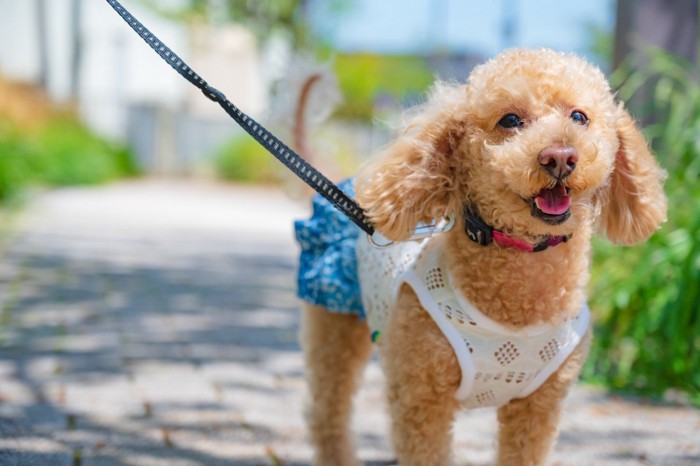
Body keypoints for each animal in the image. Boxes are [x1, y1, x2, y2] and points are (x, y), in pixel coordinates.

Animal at [294, 48, 668, 466]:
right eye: (510, 120)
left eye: (579, 117)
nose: (559, 157)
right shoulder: (421, 398)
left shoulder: (539, 406)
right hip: (333, 322)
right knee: (327, 412)